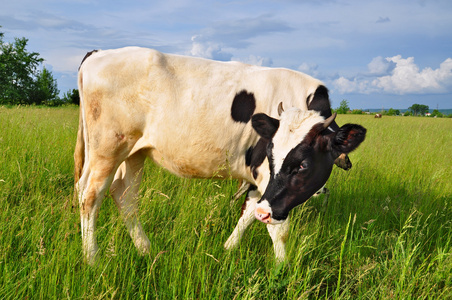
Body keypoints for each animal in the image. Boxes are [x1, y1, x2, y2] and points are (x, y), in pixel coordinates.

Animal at [72, 45, 366, 264]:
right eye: (272, 152)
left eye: (303, 165)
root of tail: (98, 53)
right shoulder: (265, 176)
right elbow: (276, 227)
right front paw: (282, 269)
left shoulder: (260, 180)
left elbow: (249, 212)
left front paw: (228, 248)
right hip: (107, 149)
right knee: (90, 195)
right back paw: (92, 259)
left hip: (133, 152)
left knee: (124, 195)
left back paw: (146, 250)